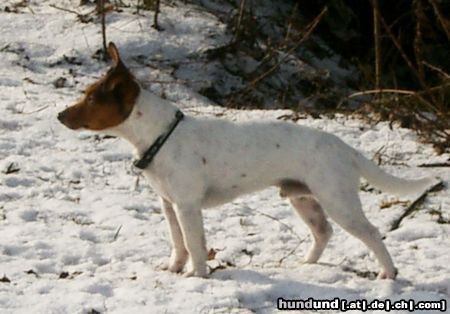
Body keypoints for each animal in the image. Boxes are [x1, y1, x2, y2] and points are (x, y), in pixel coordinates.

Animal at [58, 43, 434, 278]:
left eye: (90, 99)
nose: (60, 116)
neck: (161, 136)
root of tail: (344, 147)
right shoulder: (169, 205)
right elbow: (178, 244)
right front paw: (175, 269)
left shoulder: (187, 206)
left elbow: (194, 245)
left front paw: (197, 276)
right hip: (303, 198)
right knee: (323, 231)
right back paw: (306, 265)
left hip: (338, 200)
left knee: (370, 233)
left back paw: (387, 273)